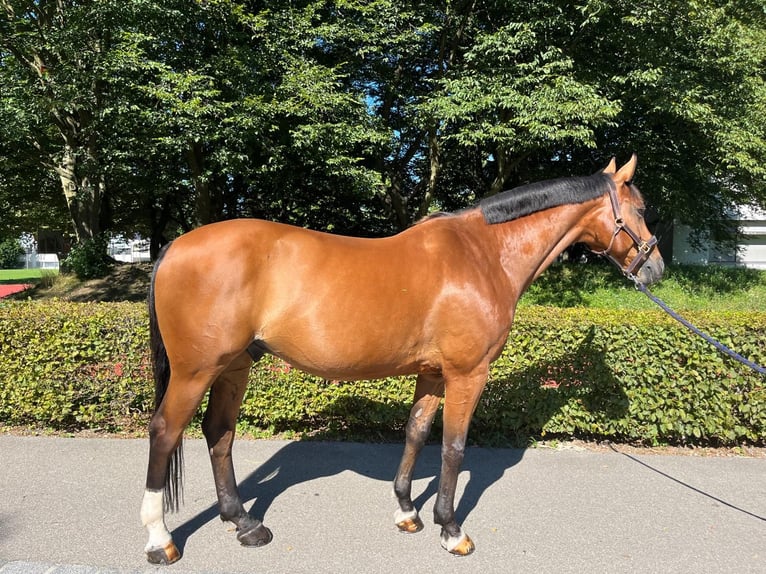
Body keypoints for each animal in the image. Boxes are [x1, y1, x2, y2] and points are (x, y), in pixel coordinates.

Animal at [140, 155, 664, 564]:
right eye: (640, 209)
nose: (655, 268)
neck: (484, 255)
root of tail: (173, 248)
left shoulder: (432, 374)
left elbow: (415, 433)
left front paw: (408, 512)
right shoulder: (467, 374)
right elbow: (453, 446)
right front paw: (451, 530)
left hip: (235, 366)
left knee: (219, 434)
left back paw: (245, 524)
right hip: (195, 372)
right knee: (165, 432)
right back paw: (160, 540)